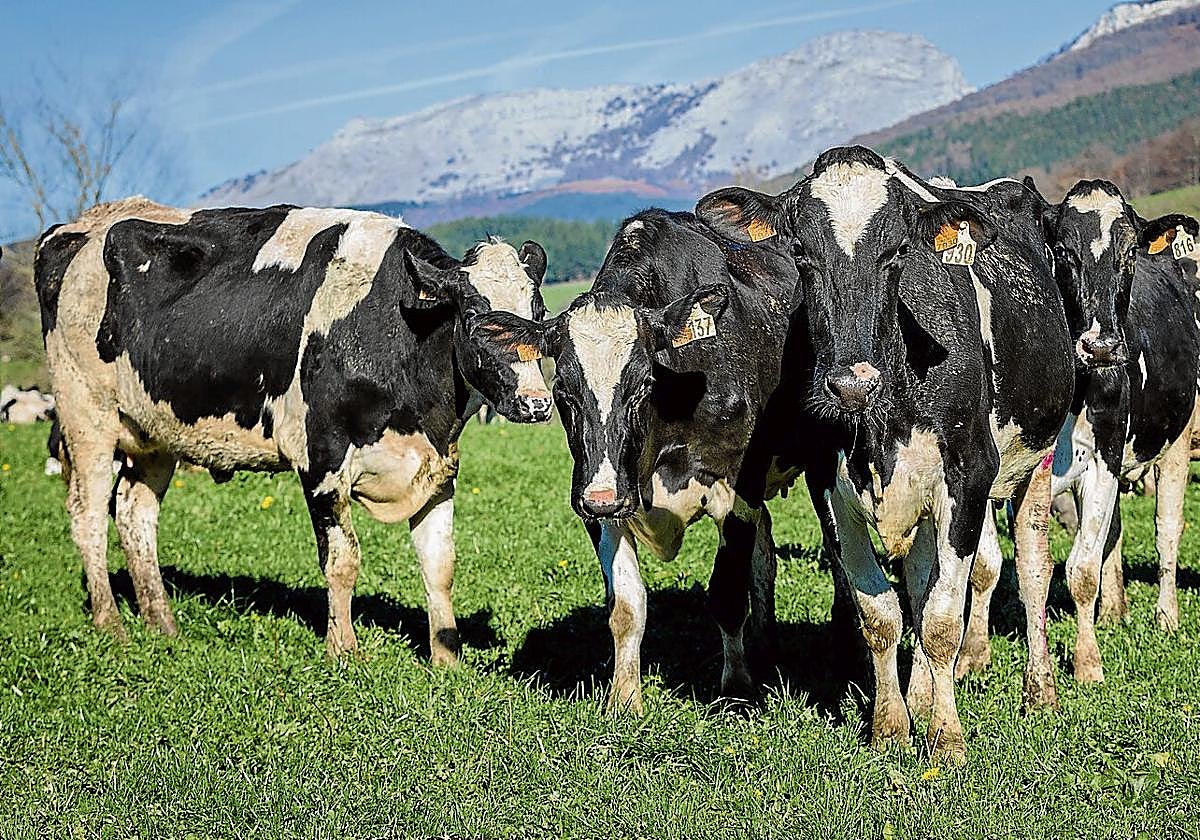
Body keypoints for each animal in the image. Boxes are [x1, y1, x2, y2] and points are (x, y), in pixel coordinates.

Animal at [34, 197, 553, 663]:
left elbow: (440, 565)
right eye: (477, 318)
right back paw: (112, 626)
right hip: (87, 418)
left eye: (540, 315)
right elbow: (343, 560)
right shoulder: (321, 459)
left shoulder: (437, 468)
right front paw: (343, 652)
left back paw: (163, 625)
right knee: (87, 517)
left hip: (153, 435)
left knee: (134, 514)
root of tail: (81, 224)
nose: (536, 402)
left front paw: (446, 660)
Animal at [473, 208, 810, 713]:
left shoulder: (734, 489)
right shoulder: (600, 498)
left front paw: (737, 688)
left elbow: (727, 595)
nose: (603, 497)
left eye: (643, 385)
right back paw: (764, 639)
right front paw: (624, 698)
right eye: (562, 392)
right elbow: (627, 606)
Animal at [695, 146, 1076, 762]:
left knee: (1034, 569)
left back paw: (1039, 690)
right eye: (801, 253)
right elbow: (882, 611)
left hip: (1035, 461)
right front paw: (892, 724)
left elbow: (942, 618)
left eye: (897, 252)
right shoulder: (828, 484)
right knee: (919, 580)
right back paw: (920, 692)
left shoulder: (968, 478)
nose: (852, 383)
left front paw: (946, 737)